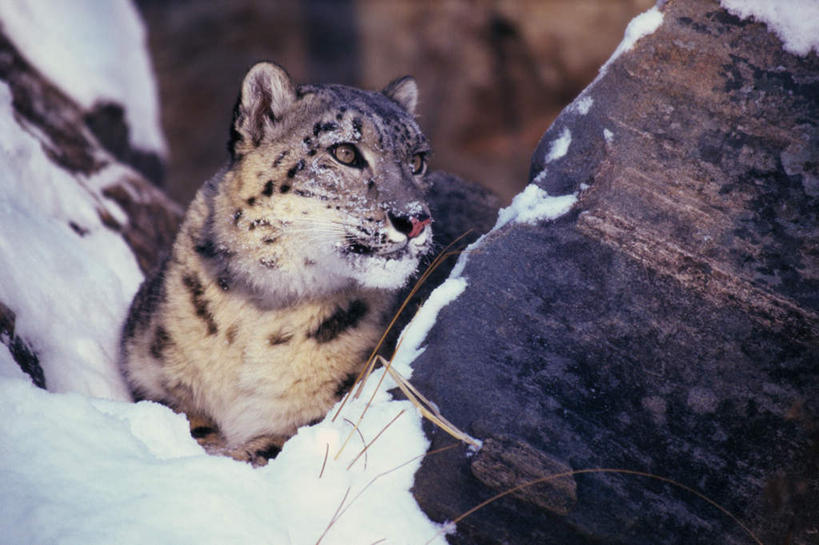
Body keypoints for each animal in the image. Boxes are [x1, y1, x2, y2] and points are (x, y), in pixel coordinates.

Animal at [119, 62, 436, 464]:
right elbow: (188, 420)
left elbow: (265, 448)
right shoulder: (150, 375)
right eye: (346, 152)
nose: (415, 219)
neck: (261, 310)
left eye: (418, 161)